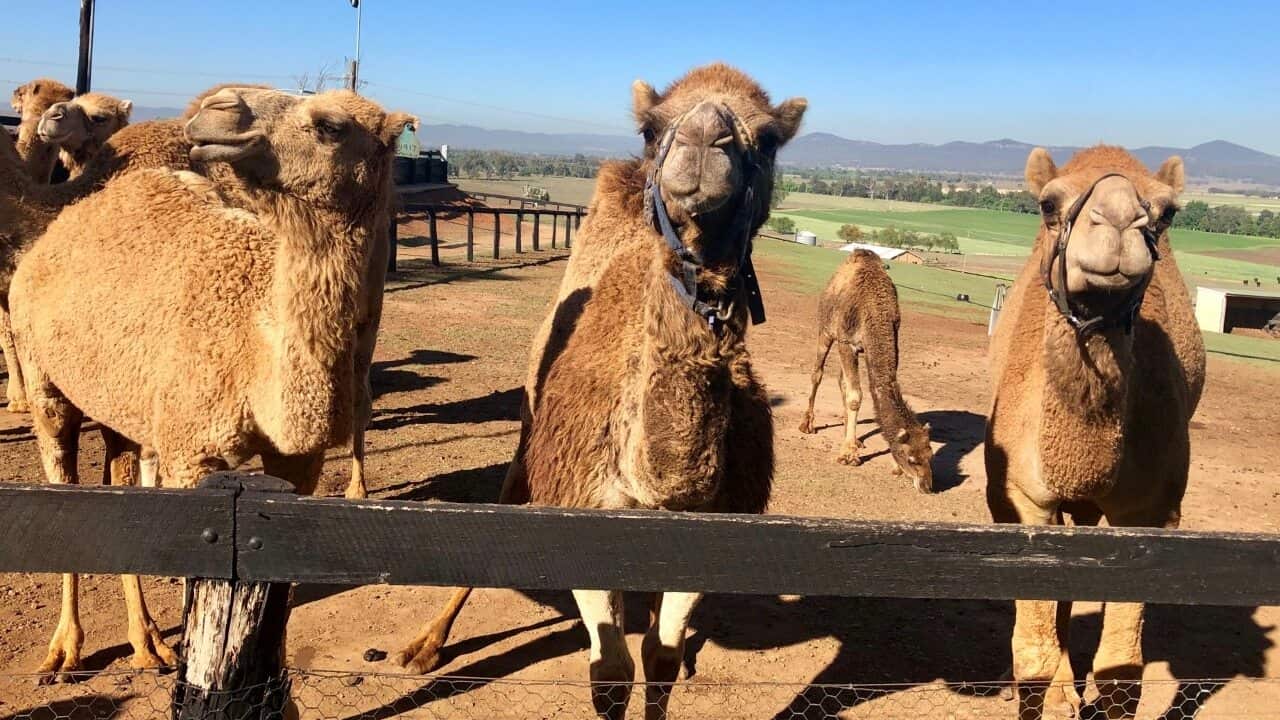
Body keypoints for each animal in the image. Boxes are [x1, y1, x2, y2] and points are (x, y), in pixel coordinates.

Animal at [8, 87, 414, 681]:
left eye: (330, 125)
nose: (219, 104)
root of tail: (47, 241)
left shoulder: (298, 460)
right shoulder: (189, 452)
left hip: (125, 404)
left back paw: (147, 643)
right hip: (43, 377)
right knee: (63, 475)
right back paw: (65, 651)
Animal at [393, 64, 806, 720]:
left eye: (767, 139)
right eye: (651, 129)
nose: (703, 139)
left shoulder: (713, 530)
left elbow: (659, 657)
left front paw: (676, 658)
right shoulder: (582, 503)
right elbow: (610, 672)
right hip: (531, 429)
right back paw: (426, 645)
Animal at [797, 249, 934, 491]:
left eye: (930, 455)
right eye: (912, 459)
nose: (928, 486)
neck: (875, 310)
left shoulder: (890, 343)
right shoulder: (846, 342)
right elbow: (855, 396)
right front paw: (848, 456)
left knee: (841, 380)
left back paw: (852, 436)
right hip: (825, 329)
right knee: (817, 373)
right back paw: (808, 425)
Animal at [985, 146, 1204, 719]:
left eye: (1167, 213)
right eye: (1047, 204)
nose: (1120, 220)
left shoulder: (1154, 509)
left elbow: (1121, 666)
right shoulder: (1017, 497)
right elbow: (1032, 653)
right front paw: (1051, 691)